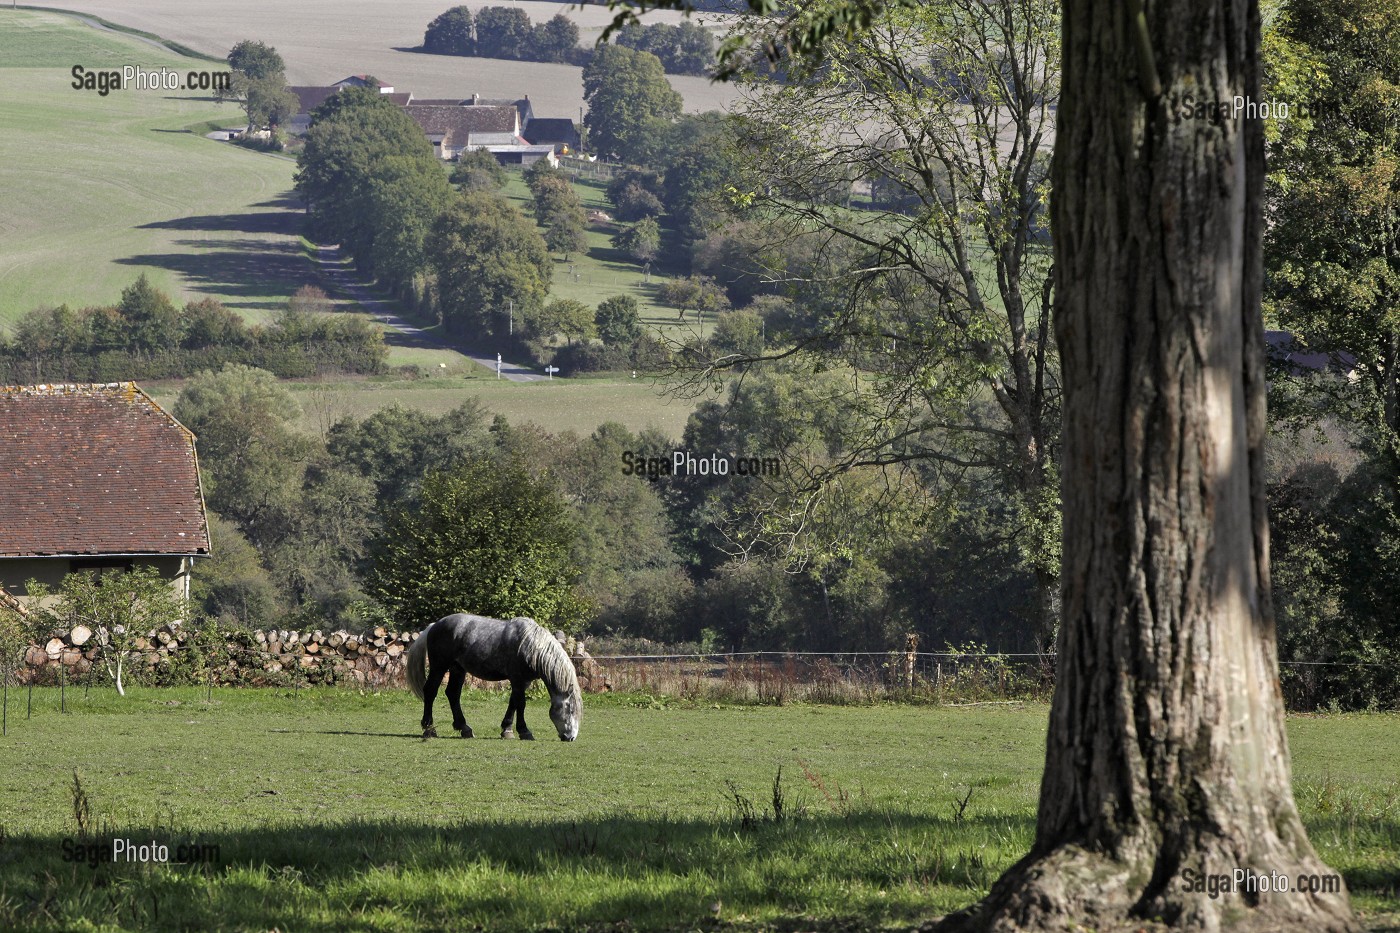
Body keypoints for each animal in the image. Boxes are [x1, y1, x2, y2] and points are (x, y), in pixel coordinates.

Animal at [406, 610, 579, 739]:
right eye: (570, 709)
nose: (570, 737)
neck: (530, 646)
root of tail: (434, 625)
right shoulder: (517, 679)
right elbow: (521, 703)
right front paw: (524, 731)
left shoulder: (523, 682)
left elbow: (513, 702)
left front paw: (507, 729)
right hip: (439, 667)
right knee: (430, 691)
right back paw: (429, 728)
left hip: (457, 669)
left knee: (453, 694)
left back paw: (464, 728)